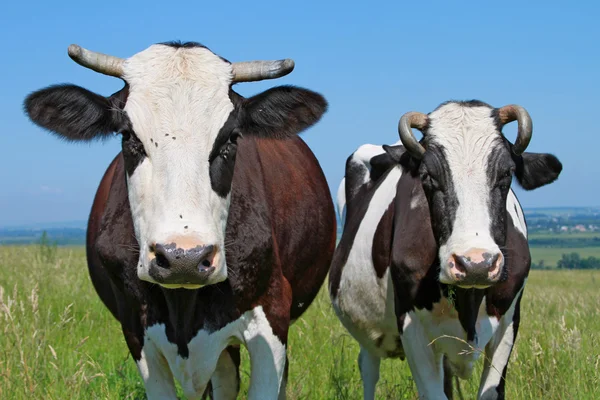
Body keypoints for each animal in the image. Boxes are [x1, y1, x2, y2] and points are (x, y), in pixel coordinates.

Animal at [328, 101, 564, 400]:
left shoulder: (510, 319)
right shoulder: (411, 324)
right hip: (368, 334)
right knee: (369, 368)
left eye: (507, 173)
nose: (476, 263)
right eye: (427, 176)